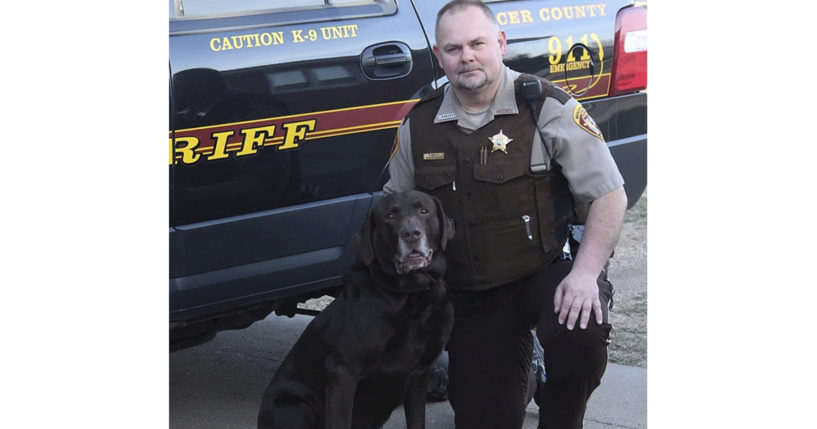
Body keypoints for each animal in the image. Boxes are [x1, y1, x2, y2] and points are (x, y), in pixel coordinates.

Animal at [258, 191, 456, 428]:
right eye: (390, 216)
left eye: (423, 210)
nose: (410, 234)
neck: (411, 296)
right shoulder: (342, 371)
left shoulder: (419, 374)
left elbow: (417, 421)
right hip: (293, 406)